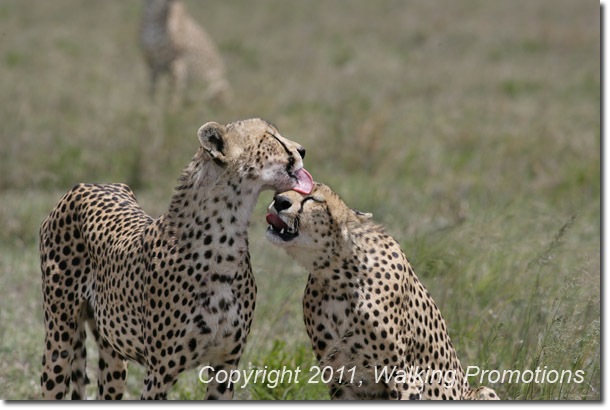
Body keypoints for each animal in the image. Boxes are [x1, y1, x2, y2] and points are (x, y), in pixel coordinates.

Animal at [40, 118, 312, 400]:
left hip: (112, 352)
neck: (224, 239)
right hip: (59, 338)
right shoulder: (159, 372)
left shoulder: (225, 365)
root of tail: (89, 185)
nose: (303, 150)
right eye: (271, 137)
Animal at [264, 183, 496, 400]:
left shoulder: (403, 378)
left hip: (484, 391)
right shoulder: (340, 381)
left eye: (313, 199)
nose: (279, 201)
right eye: (284, 190)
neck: (336, 276)